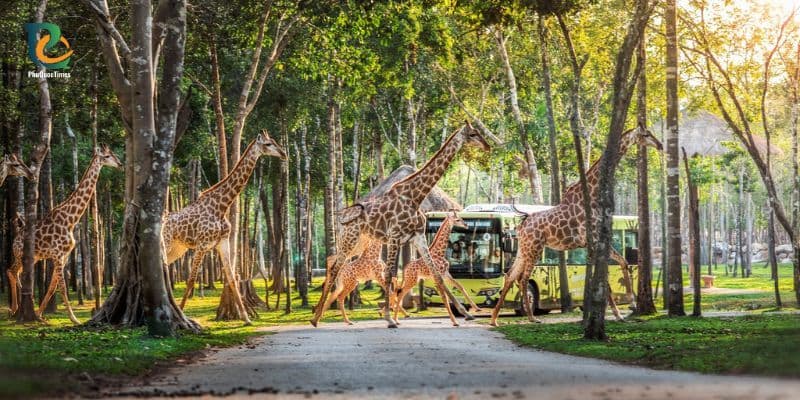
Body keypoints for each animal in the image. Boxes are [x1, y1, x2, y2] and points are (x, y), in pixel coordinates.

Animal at [8, 145, 122, 323]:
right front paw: (74, 319)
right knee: (11, 271)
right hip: (21, 255)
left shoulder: (64, 255)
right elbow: (62, 287)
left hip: (33, 257)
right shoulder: (57, 253)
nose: (120, 164)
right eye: (107, 156)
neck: (71, 220)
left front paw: (39, 314)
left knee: (15, 272)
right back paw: (14, 309)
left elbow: (52, 286)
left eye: (113, 155)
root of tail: (16, 238)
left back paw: (19, 308)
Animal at [164, 131, 286, 324]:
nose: (283, 154)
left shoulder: (223, 242)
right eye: (268, 144)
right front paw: (182, 314)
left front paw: (246, 318)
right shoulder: (202, 245)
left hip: (178, 248)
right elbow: (191, 280)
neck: (222, 207)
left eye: (274, 141)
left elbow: (231, 279)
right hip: (167, 242)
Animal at [312, 122, 491, 328]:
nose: (487, 146)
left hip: (358, 242)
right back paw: (315, 318)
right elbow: (390, 274)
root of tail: (343, 216)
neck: (415, 196)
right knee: (334, 268)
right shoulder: (395, 236)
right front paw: (389, 318)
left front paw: (465, 313)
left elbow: (436, 274)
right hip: (350, 238)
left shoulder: (417, 236)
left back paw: (317, 316)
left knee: (335, 265)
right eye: (473, 134)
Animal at [490, 126, 662, 326]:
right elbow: (604, 279)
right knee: (523, 278)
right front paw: (617, 311)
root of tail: (522, 224)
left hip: (523, 249)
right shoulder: (593, 242)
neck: (593, 196)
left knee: (510, 275)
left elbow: (623, 262)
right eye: (646, 134)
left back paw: (494, 319)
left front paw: (626, 308)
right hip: (534, 248)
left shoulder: (593, 243)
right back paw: (532, 317)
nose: (660, 145)